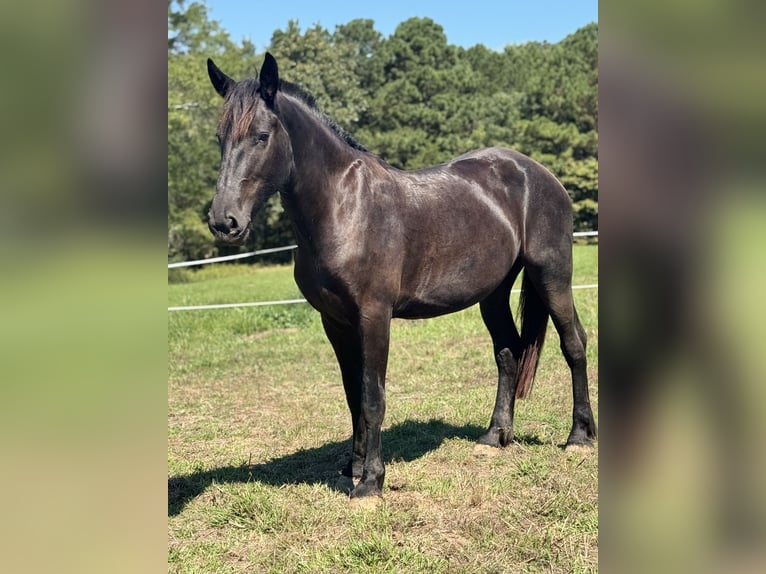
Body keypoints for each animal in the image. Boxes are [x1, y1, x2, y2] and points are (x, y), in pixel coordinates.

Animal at [207, 54, 596, 502]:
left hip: (552, 275)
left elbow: (373, 396)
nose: (224, 221)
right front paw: (354, 467)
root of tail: (538, 172)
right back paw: (495, 436)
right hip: (493, 293)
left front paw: (370, 483)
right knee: (508, 352)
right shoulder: (335, 321)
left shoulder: (374, 316)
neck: (345, 207)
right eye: (220, 138)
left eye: (261, 136)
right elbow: (353, 395)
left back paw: (579, 438)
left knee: (574, 343)